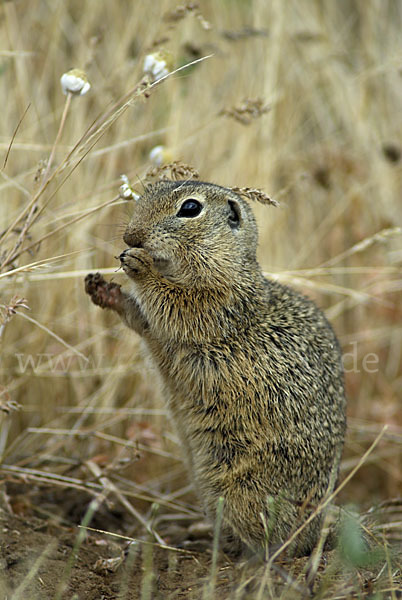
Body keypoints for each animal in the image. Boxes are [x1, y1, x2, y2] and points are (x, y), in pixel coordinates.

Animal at [84, 178, 346, 556]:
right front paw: (104, 289)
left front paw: (140, 266)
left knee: (278, 540)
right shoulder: (156, 331)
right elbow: (142, 318)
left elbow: (173, 302)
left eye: (190, 208)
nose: (131, 237)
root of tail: (317, 526)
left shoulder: (215, 304)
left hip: (240, 490)